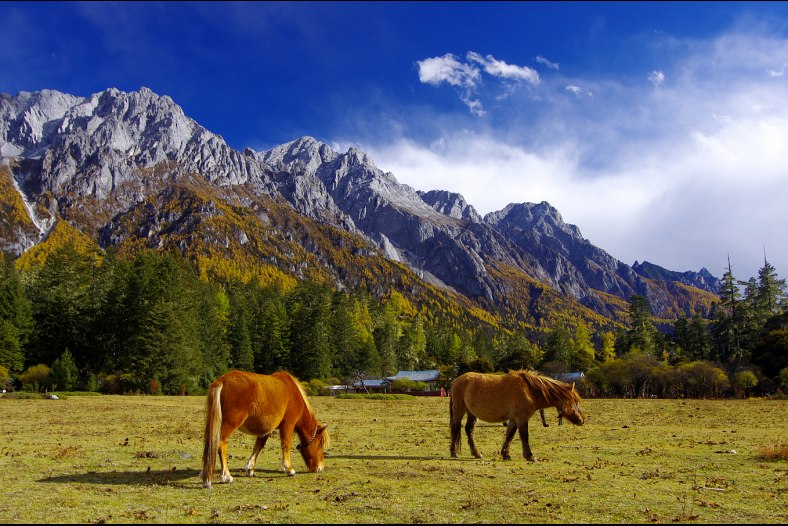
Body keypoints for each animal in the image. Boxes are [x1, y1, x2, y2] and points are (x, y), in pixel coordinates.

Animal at [201, 370, 329, 489]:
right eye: (320, 444)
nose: (320, 468)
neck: (292, 392)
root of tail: (222, 381)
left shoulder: (266, 429)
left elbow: (258, 446)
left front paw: (250, 468)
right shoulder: (288, 424)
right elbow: (286, 444)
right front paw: (288, 469)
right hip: (230, 424)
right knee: (220, 443)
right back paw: (224, 477)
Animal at [450, 369, 584, 462]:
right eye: (575, 402)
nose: (582, 420)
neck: (530, 390)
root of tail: (456, 381)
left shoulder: (514, 419)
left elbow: (509, 435)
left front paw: (505, 454)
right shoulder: (521, 418)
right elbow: (524, 436)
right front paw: (530, 456)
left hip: (472, 413)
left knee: (469, 430)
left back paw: (476, 453)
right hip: (459, 410)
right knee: (455, 428)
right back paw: (453, 452)